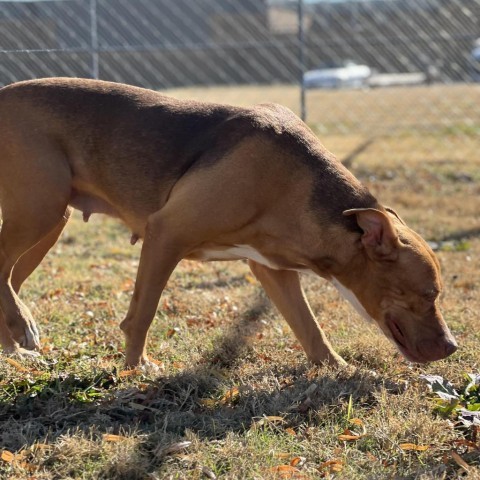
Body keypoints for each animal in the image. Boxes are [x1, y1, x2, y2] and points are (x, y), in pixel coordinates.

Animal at [0, 78, 458, 368]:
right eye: (428, 293)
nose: (453, 347)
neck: (292, 181)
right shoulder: (166, 234)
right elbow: (142, 314)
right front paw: (135, 369)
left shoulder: (273, 270)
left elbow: (310, 328)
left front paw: (339, 368)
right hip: (39, 211)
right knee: (4, 274)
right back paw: (23, 332)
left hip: (48, 222)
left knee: (8, 281)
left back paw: (16, 347)